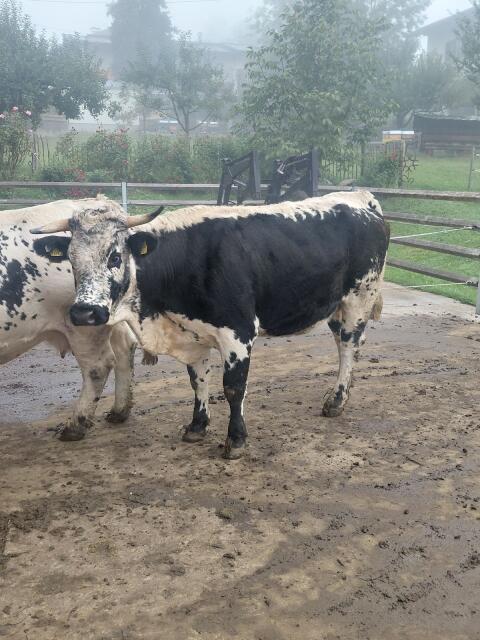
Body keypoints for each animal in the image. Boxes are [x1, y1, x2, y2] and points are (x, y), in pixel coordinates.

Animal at [0, 197, 156, 441]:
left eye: (115, 257)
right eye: (71, 260)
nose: (83, 313)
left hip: (84, 330)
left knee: (98, 367)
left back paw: (75, 426)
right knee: (124, 348)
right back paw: (119, 411)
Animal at [31, 191, 390, 459]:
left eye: (115, 256)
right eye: (71, 261)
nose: (84, 313)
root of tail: (359, 198)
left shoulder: (238, 333)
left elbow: (233, 388)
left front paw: (236, 440)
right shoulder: (193, 332)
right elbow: (197, 380)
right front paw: (197, 426)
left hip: (359, 297)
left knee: (349, 347)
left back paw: (336, 401)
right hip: (336, 306)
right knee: (344, 344)